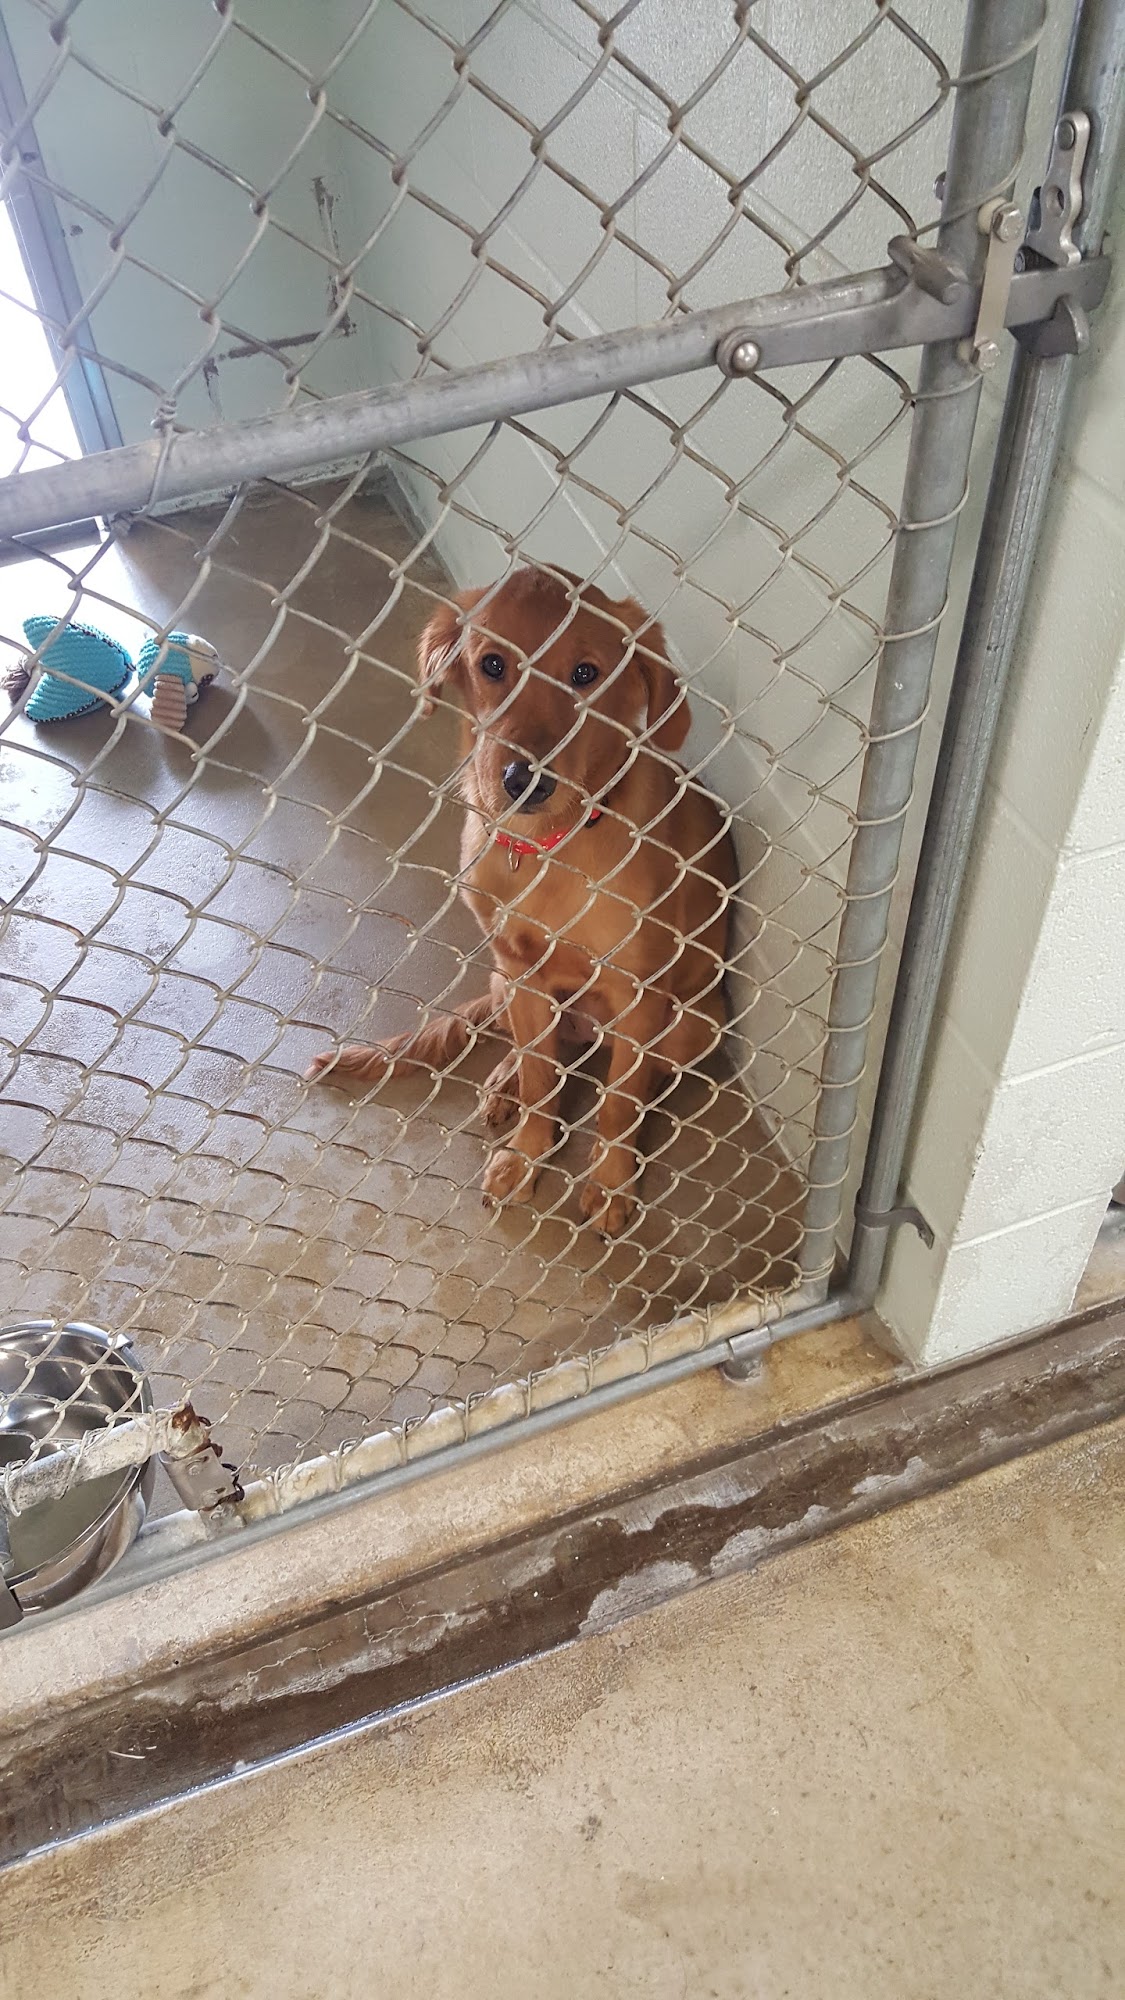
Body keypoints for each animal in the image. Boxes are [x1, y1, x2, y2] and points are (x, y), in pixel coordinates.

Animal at [307, 566, 737, 1236]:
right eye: (492, 664)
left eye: (585, 673)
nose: (523, 781)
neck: (547, 848)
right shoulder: (523, 970)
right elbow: (540, 1079)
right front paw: (527, 1154)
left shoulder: (640, 993)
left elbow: (618, 1102)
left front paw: (610, 1181)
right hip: (504, 980)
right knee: (536, 1050)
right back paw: (505, 1081)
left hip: (696, 1023)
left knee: (634, 1073)